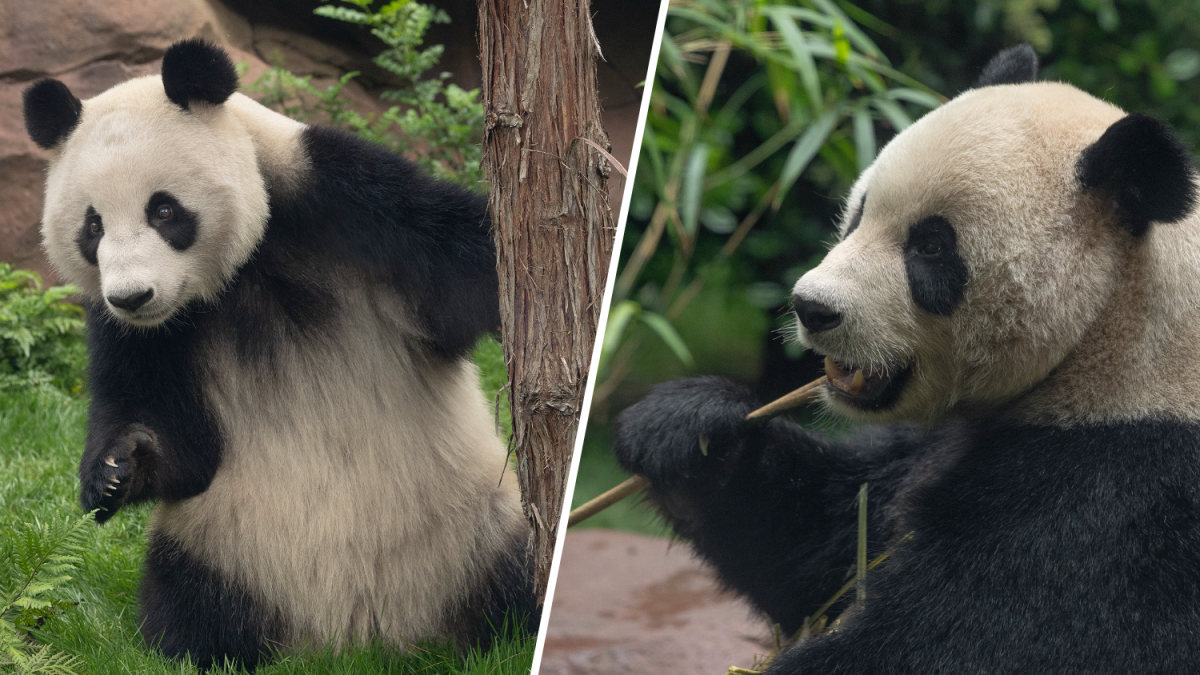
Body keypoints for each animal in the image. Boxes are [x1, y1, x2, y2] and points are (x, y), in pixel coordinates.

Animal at [21, 40, 537, 667]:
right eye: (92, 226)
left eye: (163, 211)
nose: (133, 296)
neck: (241, 270)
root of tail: (358, 639)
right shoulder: (135, 333)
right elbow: (171, 434)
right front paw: (118, 468)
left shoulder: (347, 199)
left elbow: (472, 264)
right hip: (226, 548)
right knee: (183, 602)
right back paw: (209, 644)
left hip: (474, 526)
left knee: (514, 582)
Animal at [614, 44, 1200, 667]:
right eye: (858, 212)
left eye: (932, 246)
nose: (812, 307)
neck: (1116, 334)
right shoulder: (931, 447)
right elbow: (823, 539)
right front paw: (686, 430)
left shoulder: (1120, 498)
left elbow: (955, 638)